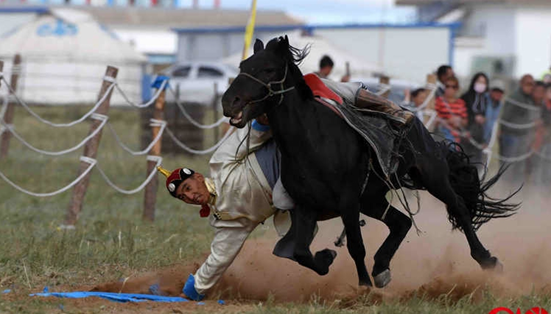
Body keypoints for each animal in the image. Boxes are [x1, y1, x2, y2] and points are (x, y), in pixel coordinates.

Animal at [221, 35, 516, 288]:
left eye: (268, 69)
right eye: (243, 66)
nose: (228, 101)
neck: (313, 141)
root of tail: (416, 121)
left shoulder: (348, 201)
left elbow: (355, 246)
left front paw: (363, 287)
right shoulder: (306, 206)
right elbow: (302, 252)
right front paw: (327, 258)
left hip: (431, 176)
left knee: (459, 209)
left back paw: (487, 260)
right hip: (372, 198)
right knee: (401, 222)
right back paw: (381, 267)